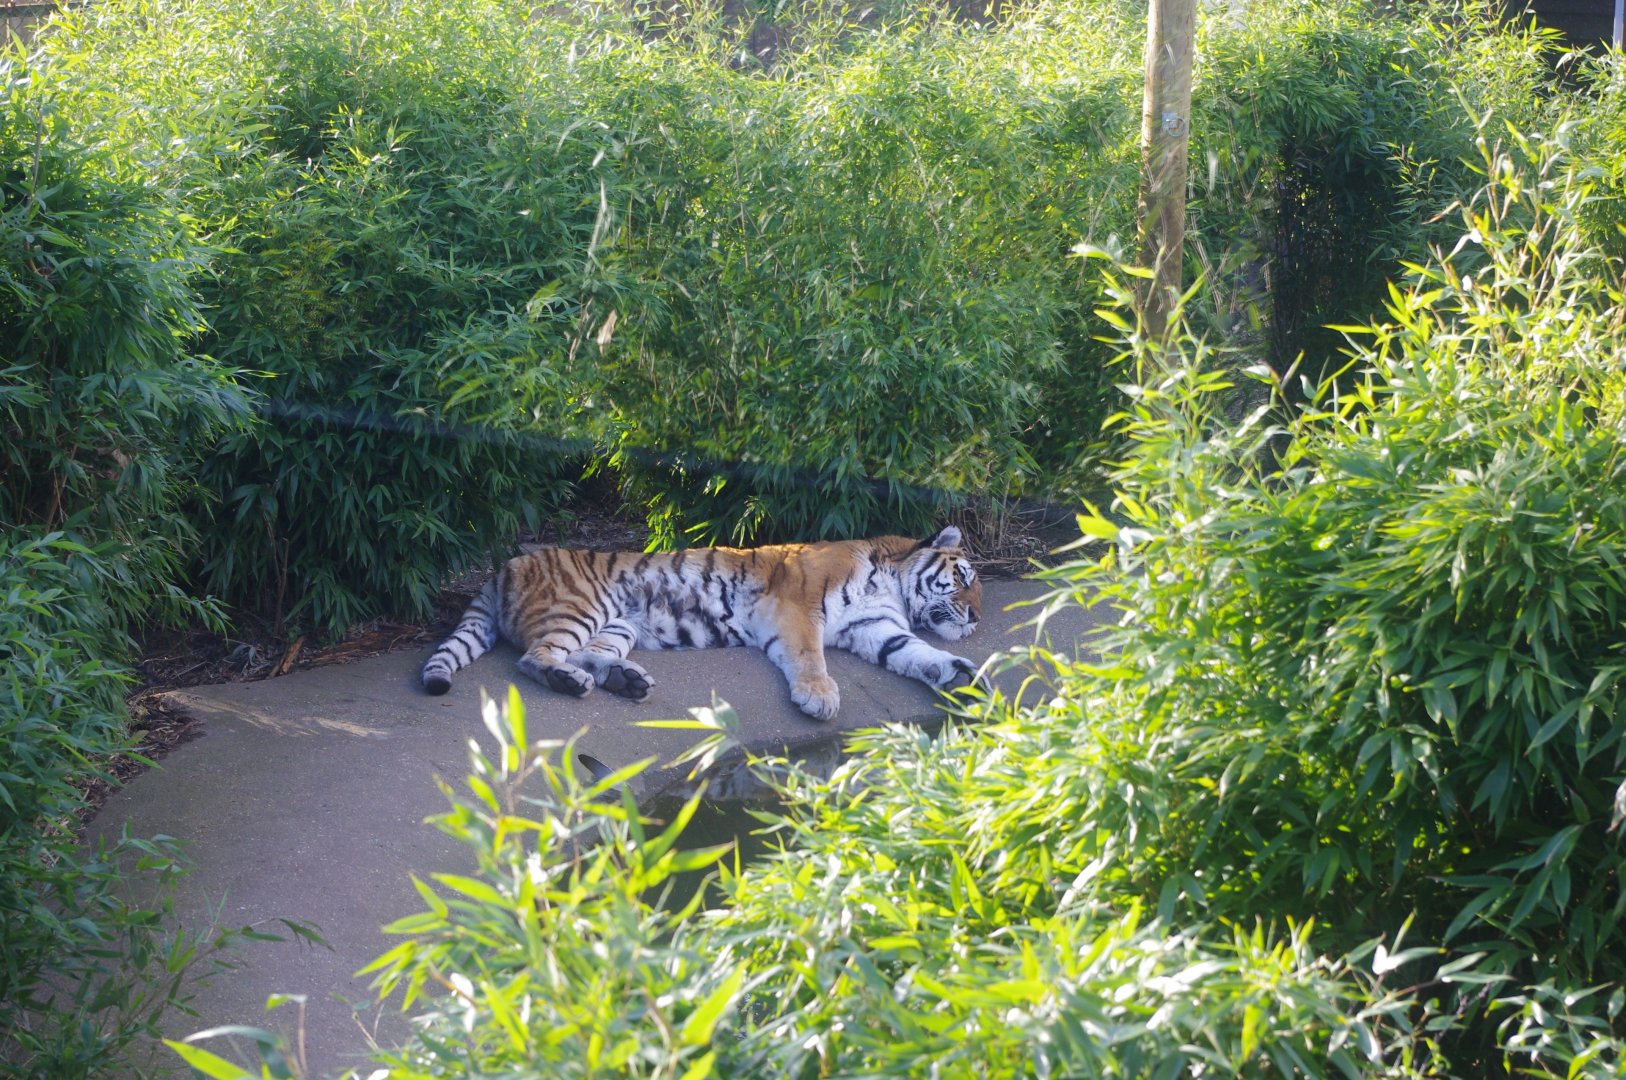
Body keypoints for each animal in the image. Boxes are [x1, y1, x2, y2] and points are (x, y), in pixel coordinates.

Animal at [420, 526, 984, 720]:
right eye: (963, 577)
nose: (977, 616)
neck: (892, 583)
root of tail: (504, 567)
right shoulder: (798, 606)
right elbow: (808, 656)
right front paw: (818, 697)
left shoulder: (875, 629)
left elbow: (918, 654)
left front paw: (960, 673)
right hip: (580, 607)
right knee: (534, 657)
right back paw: (570, 681)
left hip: (619, 624)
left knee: (584, 653)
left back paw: (624, 680)